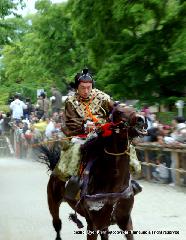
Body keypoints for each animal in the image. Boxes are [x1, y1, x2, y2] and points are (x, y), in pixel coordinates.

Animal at [39, 103, 147, 240]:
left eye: (134, 109)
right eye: (119, 112)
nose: (141, 120)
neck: (113, 183)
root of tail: (55, 169)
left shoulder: (125, 220)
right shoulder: (93, 225)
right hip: (53, 203)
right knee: (57, 225)